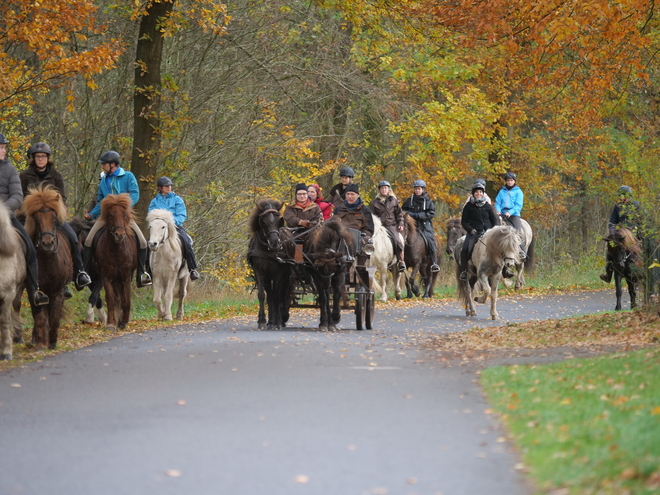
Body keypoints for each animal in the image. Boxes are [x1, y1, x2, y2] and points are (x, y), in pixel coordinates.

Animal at [20, 184, 73, 350]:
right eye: (36, 220)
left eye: (54, 218)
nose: (47, 243)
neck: (47, 259)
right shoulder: (36, 292)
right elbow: (40, 317)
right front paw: (41, 343)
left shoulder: (58, 291)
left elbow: (54, 317)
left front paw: (53, 341)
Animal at [94, 196, 137, 332]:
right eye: (111, 215)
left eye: (124, 215)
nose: (120, 234)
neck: (117, 249)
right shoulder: (107, 277)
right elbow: (111, 299)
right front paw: (111, 324)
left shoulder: (126, 277)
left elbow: (126, 299)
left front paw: (123, 321)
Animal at [248, 200, 292, 332]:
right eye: (263, 221)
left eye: (279, 220)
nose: (274, 241)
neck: (267, 250)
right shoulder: (259, 271)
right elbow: (263, 295)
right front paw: (262, 321)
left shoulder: (278, 273)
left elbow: (277, 296)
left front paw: (277, 322)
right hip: (267, 276)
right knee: (270, 295)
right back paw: (271, 322)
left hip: (286, 275)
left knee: (282, 293)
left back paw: (280, 318)